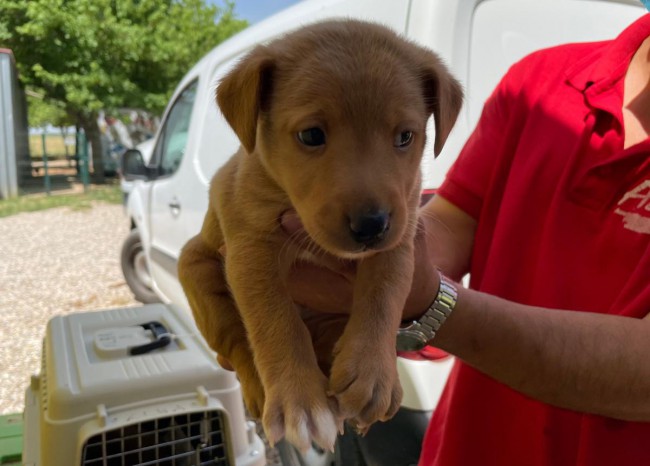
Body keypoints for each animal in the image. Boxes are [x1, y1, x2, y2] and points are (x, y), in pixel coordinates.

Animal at [178, 19, 463, 452]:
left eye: (405, 137)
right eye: (311, 135)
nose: (371, 224)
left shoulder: (402, 235)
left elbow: (386, 293)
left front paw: (373, 374)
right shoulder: (250, 249)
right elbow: (276, 321)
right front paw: (301, 401)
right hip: (195, 269)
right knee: (238, 344)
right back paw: (261, 391)